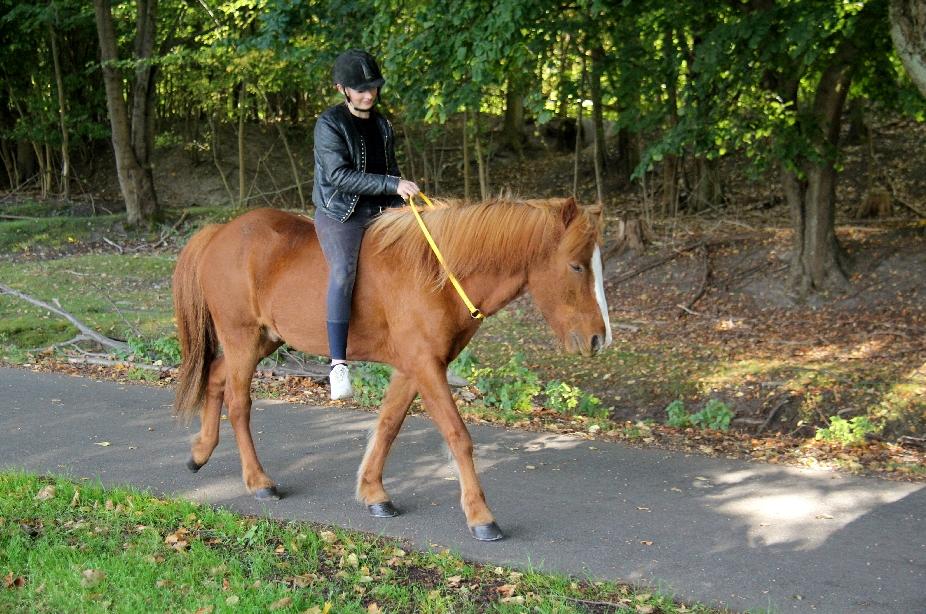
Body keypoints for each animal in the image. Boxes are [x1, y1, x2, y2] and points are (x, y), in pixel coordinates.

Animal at [173, 195, 612, 540]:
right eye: (576, 266)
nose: (598, 339)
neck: (437, 275)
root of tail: (220, 232)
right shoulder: (426, 366)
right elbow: (458, 435)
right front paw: (480, 515)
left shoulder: (413, 367)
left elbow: (388, 425)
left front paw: (373, 493)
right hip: (243, 338)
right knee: (239, 404)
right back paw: (258, 481)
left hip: (263, 339)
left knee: (216, 377)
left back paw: (200, 451)